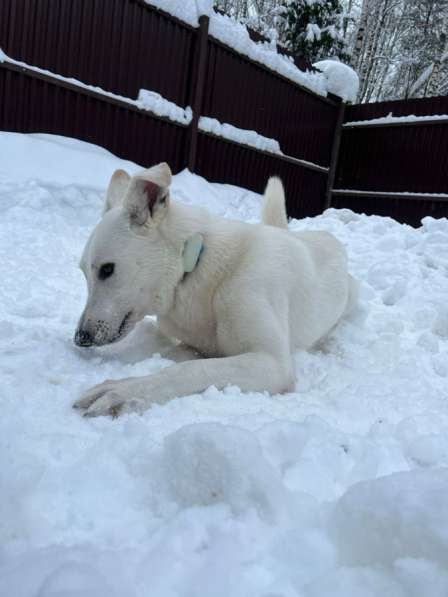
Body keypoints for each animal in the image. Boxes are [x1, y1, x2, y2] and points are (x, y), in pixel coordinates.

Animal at [73, 162, 356, 414]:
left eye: (107, 269)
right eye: (84, 272)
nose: (80, 338)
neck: (198, 272)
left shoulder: (272, 363)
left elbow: (188, 370)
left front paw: (123, 392)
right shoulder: (193, 346)